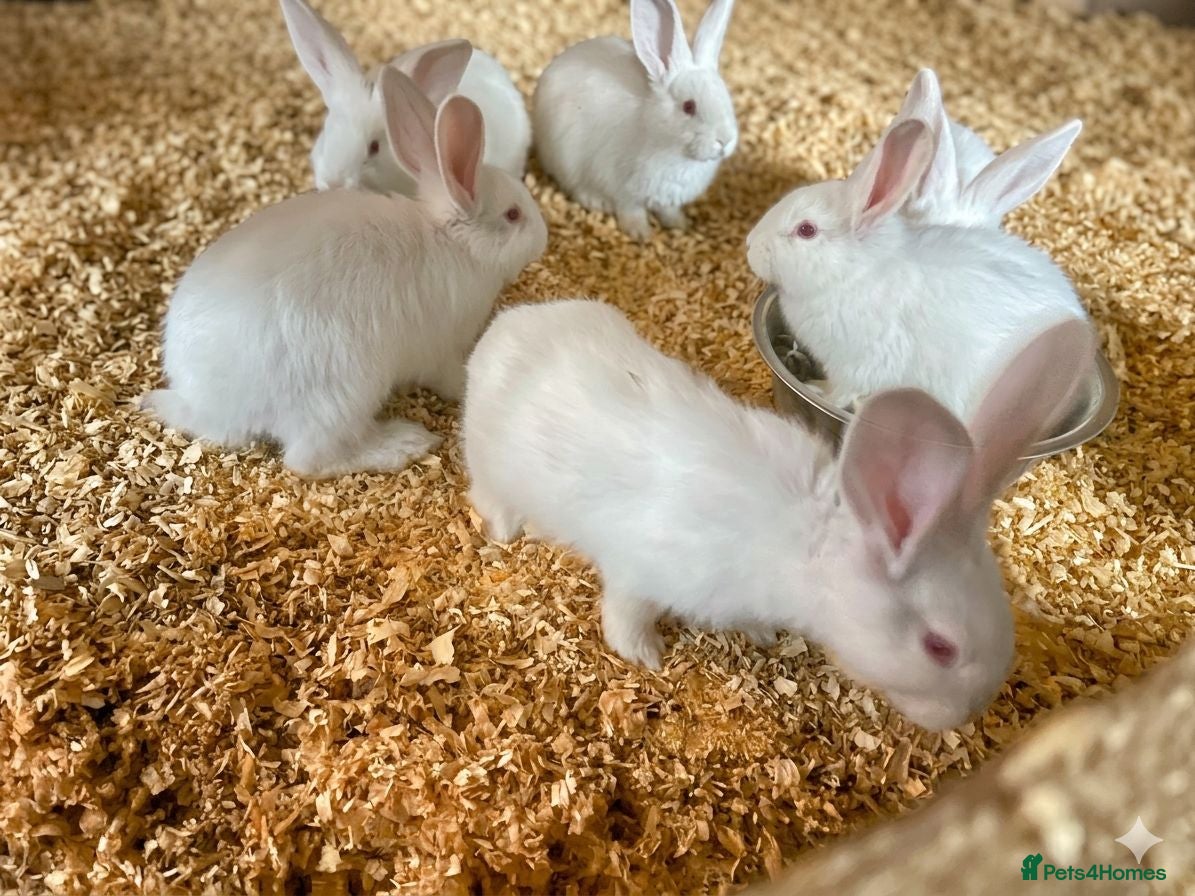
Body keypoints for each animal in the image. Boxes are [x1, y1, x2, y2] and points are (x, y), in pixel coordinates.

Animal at [142, 68, 547, 479]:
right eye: (513, 214)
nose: (543, 237)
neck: (451, 240)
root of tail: (206, 405)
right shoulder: (442, 347)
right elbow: (451, 377)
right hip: (343, 390)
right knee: (308, 459)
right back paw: (403, 443)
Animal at [462, 299, 1095, 730]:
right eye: (940, 647)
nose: (968, 712)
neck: (806, 548)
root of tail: (501, 328)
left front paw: (762, 633)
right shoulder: (642, 573)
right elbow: (624, 616)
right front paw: (646, 656)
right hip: (490, 462)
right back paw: (508, 528)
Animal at [532, 0, 738, 240]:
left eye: (726, 97)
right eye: (689, 106)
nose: (725, 140)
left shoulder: (667, 198)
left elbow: (668, 211)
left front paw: (680, 225)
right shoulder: (623, 190)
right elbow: (632, 210)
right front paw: (640, 234)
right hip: (565, 159)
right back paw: (597, 202)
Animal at [746, 118, 1093, 420]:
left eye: (806, 230)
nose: (750, 245)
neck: (855, 276)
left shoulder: (856, 367)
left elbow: (840, 392)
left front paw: (815, 388)